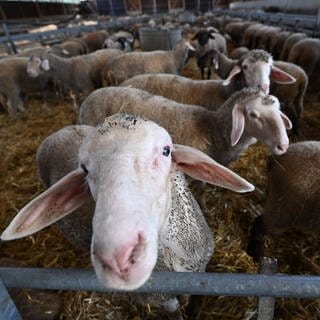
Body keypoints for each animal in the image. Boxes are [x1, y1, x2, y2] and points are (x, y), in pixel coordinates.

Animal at [1, 114, 254, 318]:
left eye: (166, 151)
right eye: (84, 169)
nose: (117, 256)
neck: (174, 258)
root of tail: (61, 130)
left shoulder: (199, 272)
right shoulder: (157, 295)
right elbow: (174, 310)